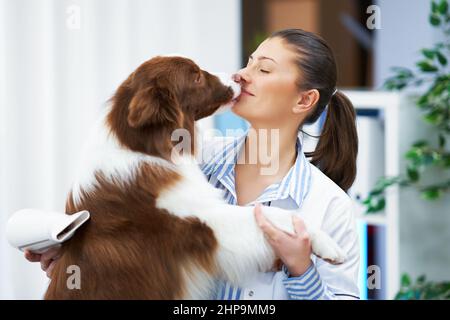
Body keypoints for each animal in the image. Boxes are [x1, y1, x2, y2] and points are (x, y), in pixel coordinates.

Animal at [44, 55, 342, 300]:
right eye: (196, 76)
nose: (238, 77)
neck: (142, 145)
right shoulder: (203, 223)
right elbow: (276, 214)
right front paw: (328, 243)